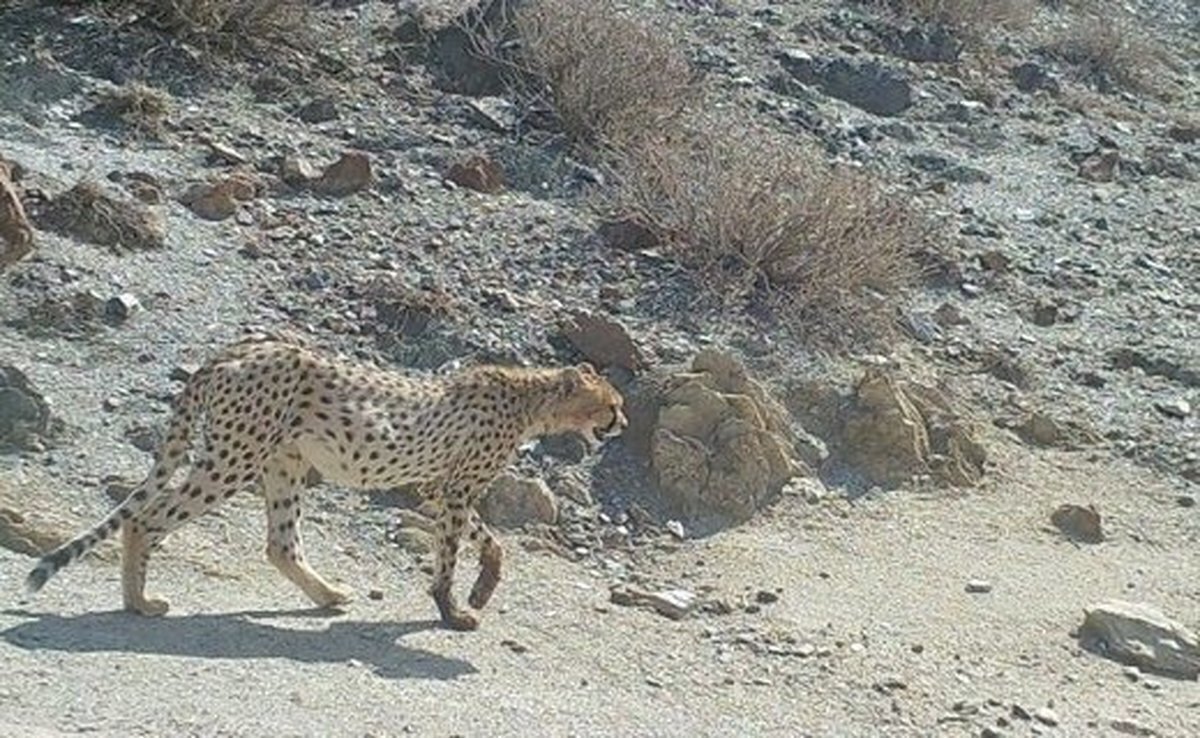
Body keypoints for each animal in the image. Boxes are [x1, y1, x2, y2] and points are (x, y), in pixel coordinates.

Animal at [25, 336, 628, 628]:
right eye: (613, 403)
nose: (622, 423)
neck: (531, 400)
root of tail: (236, 349)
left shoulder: (440, 487)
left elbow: (490, 541)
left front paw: (482, 588)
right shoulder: (455, 488)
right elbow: (449, 555)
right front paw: (452, 610)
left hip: (282, 464)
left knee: (279, 544)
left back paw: (328, 594)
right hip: (234, 458)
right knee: (147, 520)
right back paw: (138, 603)